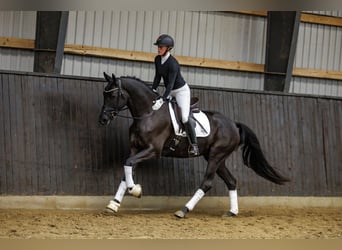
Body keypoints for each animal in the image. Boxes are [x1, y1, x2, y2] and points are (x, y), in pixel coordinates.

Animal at [98, 73, 288, 218]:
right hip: (217, 158)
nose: (103, 119)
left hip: (216, 156)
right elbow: (127, 169)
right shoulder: (136, 149)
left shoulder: (152, 150)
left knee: (207, 183)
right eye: (104, 95)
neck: (148, 113)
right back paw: (232, 212)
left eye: (112, 96)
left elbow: (128, 164)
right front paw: (113, 204)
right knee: (231, 181)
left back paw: (183, 210)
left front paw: (135, 190)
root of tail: (234, 124)